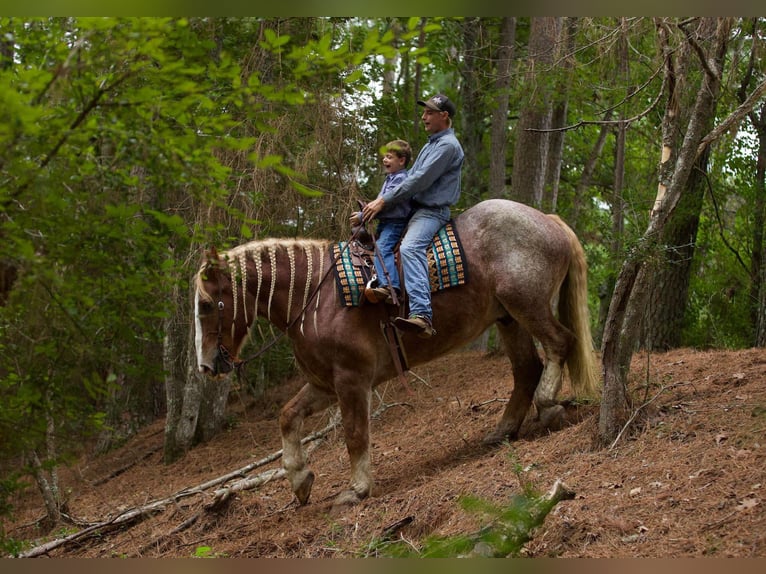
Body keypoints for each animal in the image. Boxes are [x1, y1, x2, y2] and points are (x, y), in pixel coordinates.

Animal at [195, 200, 604, 510]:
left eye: (205, 305)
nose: (206, 366)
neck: (316, 296)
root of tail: (547, 219)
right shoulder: (325, 384)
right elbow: (287, 416)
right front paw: (300, 478)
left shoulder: (352, 380)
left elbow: (355, 434)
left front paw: (356, 489)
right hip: (508, 317)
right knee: (526, 368)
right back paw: (503, 430)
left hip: (527, 305)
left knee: (559, 343)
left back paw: (548, 405)